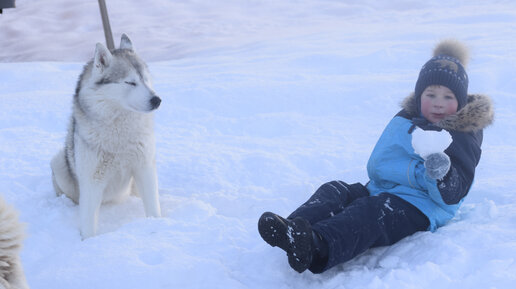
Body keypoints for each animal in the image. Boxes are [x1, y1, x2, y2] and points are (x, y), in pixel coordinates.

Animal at [51, 33, 161, 237]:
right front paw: (89, 243)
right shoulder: (92, 180)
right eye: (130, 82)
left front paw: (158, 226)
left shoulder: (144, 167)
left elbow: (153, 207)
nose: (157, 100)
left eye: (145, 79)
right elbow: (88, 224)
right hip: (59, 163)